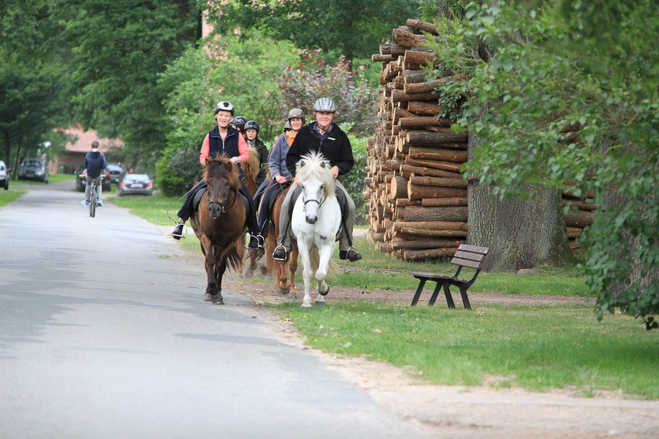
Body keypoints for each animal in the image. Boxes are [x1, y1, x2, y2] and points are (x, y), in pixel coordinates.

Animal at [189, 156, 246, 306]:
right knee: (208, 261)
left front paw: (217, 292)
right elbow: (209, 261)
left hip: (220, 244)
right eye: (208, 182)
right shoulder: (206, 238)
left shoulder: (230, 241)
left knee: (218, 261)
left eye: (226, 183)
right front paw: (211, 289)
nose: (214, 209)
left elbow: (220, 265)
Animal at [296, 151, 346, 310]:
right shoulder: (303, 244)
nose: (310, 218)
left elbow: (320, 273)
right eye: (303, 186)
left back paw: (320, 297)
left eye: (321, 186)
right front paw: (306, 302)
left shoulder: (325, 245)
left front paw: (323, 291)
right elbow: (307, 273)